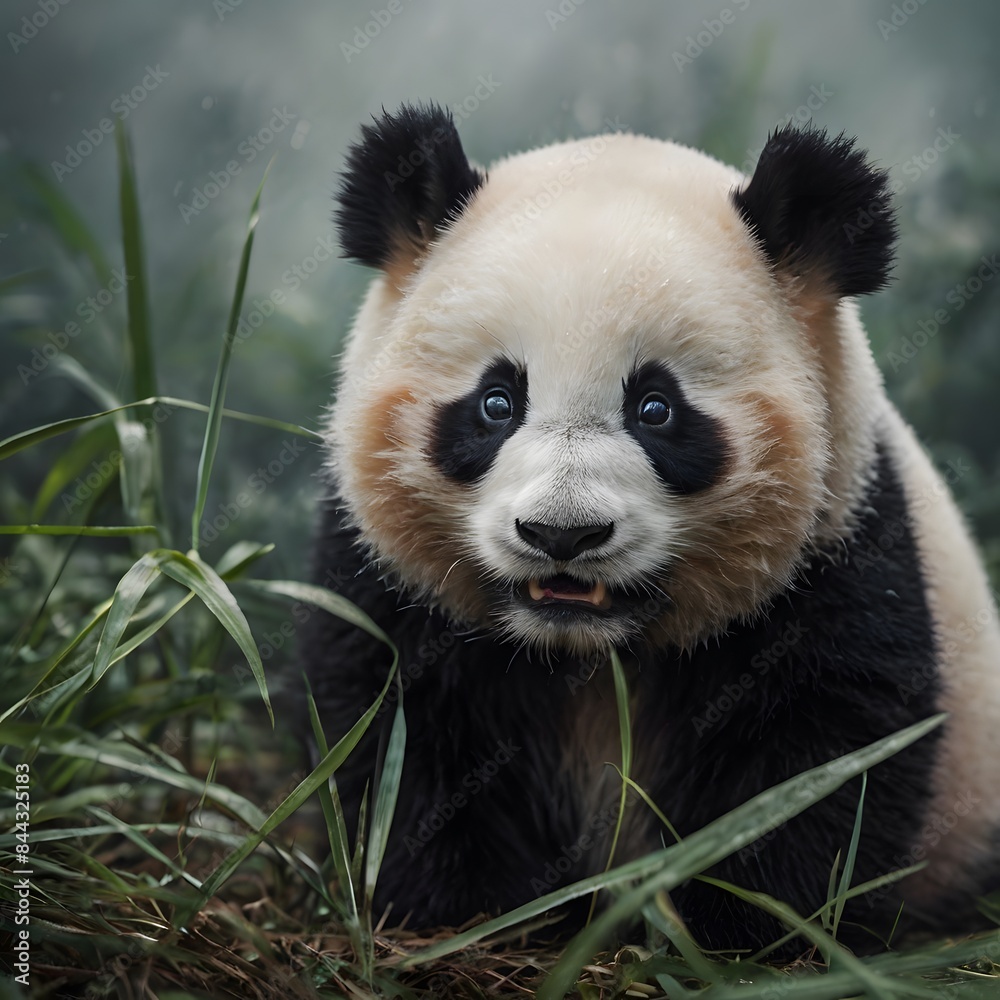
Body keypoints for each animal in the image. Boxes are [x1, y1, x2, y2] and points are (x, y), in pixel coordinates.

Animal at [302, 102, 1000, 952]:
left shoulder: (841, 551)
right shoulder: (388, 578)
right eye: (496, 402)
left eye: (656, 408)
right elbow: (400, 731)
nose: (562, 535)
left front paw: (739, 927)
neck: (588, 654)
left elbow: (824, 754)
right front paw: (472, 913)